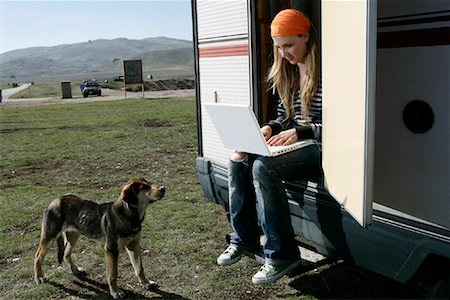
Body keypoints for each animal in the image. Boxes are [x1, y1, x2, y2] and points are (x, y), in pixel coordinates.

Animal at [34, 178, 165, 298]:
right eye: (145, 187)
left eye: (149, 183)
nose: (163, 188)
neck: (131, 215)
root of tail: (55, 200)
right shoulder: (111, 249)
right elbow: (113, 275)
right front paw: (115, 292)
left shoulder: (133, 245)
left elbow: (139, 268)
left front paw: (146, 283)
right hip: (50, 236)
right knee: (38, 256)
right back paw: (39, 278)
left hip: (74, 235)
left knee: (66, 254)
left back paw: (76, 270)